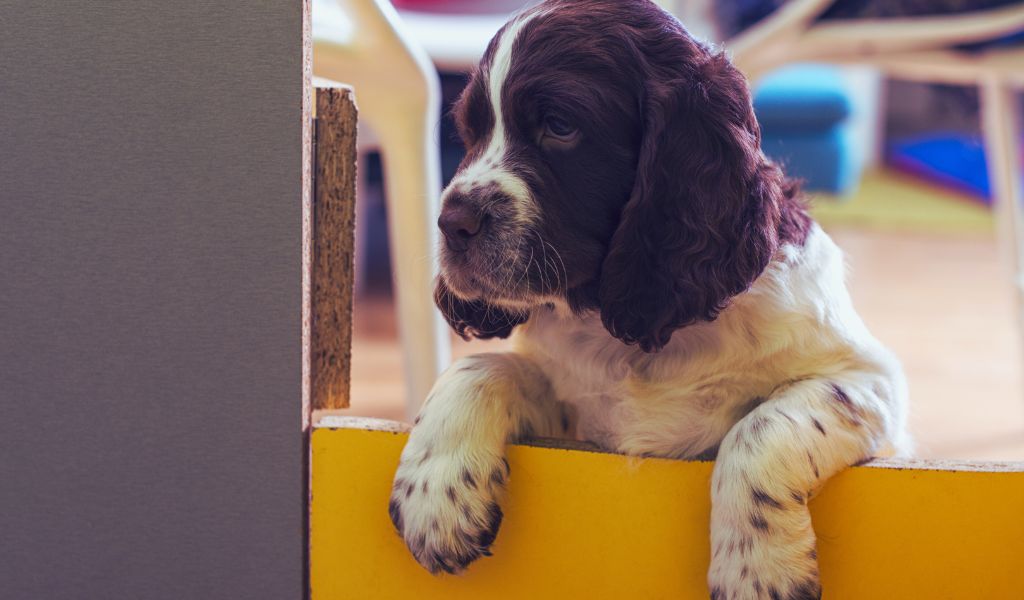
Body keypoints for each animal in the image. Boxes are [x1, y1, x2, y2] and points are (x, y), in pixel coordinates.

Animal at [387, 2, 909, 593]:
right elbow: (480, 368)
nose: (451, 223)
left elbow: (761, 428)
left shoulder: (869, 383)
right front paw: (434, 498)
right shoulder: (580, 424)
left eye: (560, 125)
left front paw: (756, 570)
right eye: (469, 131)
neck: (638, 332)